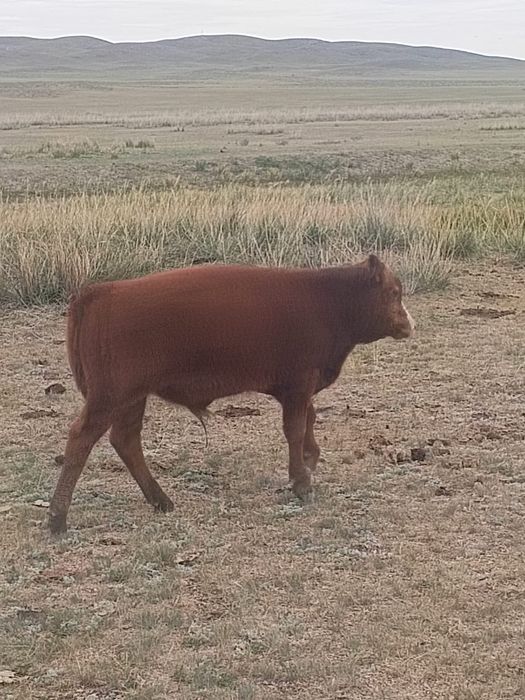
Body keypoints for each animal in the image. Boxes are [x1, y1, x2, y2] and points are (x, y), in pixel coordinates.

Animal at [49, 255, 415, 533]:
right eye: (395, 291)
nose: (410, 324)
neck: (327, 299)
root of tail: (99, 292)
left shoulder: (300, 390)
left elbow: (309, 420)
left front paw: (310, 461)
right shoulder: (297, 387)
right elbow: (295, 430)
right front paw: (301, 482)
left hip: (132, 399)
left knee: (125, 440)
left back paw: (160, 500)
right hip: (110, 398)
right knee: (82, 438)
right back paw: (57, 517)